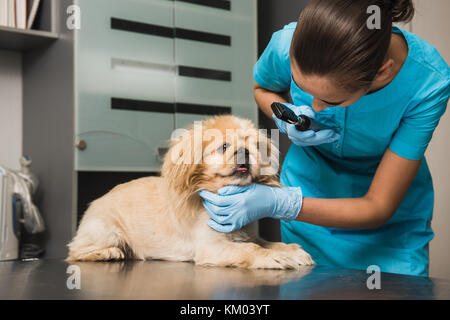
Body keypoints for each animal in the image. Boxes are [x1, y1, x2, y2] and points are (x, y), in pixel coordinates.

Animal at [67, 115, 312, 268]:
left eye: (255, 147)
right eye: (224, 147)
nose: (245, 151)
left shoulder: (248, 236)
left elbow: (268, 243)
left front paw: (292, 250)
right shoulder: (212, 248)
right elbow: (251, 250)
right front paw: (274, 257)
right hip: (107, 232)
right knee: (74, 252)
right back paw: (109, 253)